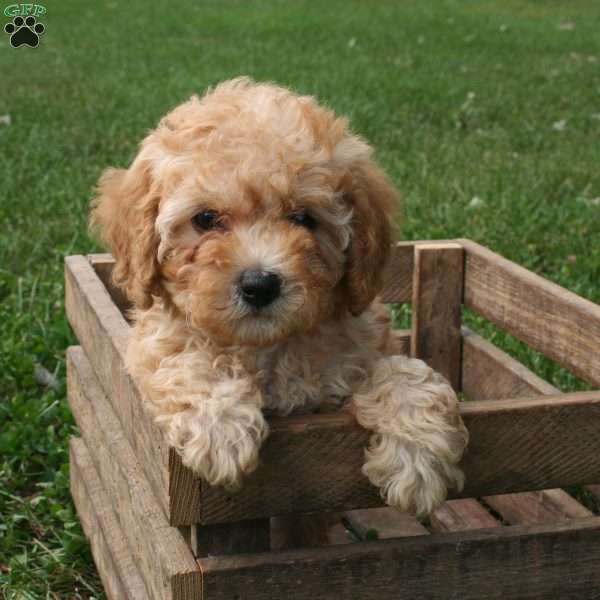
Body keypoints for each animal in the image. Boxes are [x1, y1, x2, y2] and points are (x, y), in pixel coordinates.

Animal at [90, 76, 468, 516]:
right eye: (205, 219)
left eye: (304, 218)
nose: (259, 285)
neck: (267, 347)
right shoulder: (153, 343)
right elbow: (185, 361)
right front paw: (220, 430)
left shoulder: (354, 360)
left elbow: (403, 372)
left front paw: (417, 459)